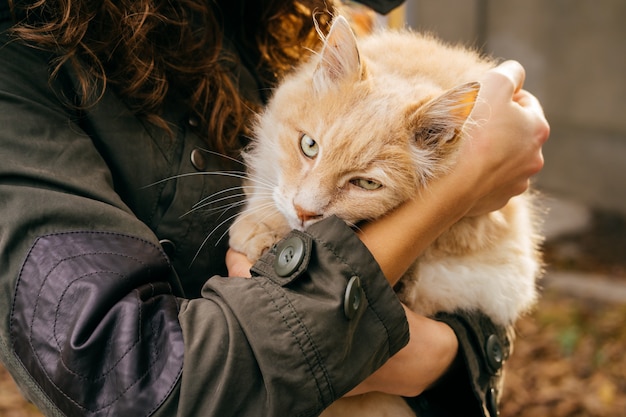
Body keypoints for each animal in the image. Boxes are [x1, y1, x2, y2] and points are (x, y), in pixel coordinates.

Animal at [227, 14, 540, 414]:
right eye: (309, 146)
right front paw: (263, 227)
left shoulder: (502, 270)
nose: (305, 212)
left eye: (366, 184)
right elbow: (270, 182)